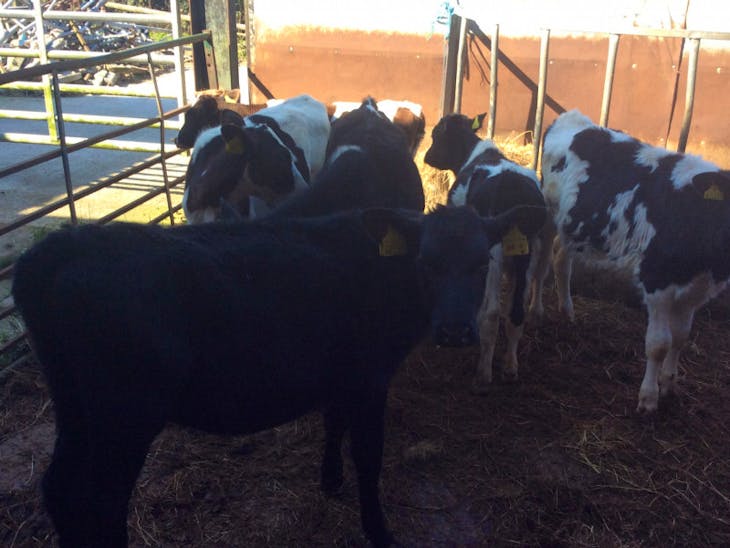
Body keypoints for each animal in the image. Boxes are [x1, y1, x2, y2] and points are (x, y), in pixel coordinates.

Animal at [12, 203, 536, 548]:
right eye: (426, 263)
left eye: (481, 263)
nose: (454, 330)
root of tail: (61, 246)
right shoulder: (369, 378)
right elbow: (369, 457)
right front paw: (379, 531)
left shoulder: (341, 372)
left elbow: (332, 423)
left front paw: (330, 480)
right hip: (124, 416)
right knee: (100, 497)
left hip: (76, 409)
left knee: (60, 488)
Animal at [424, 112, 547, 393]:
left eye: (437, 134)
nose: (427, 157)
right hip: (529, 252)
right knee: (516, 312)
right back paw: (510, 368)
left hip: (495, 254)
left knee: (491, 314)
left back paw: (483, 375)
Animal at [539, 109, 730, 413]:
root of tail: (573, 117)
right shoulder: (657, 282)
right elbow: (659, 344)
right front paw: (649, 397)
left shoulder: (696, 290)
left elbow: (681, 336)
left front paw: (670, 383)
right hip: (547, 213)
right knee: (542, 261)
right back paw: (535, 310)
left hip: (574, 226)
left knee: (561, 259)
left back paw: (567, 311)